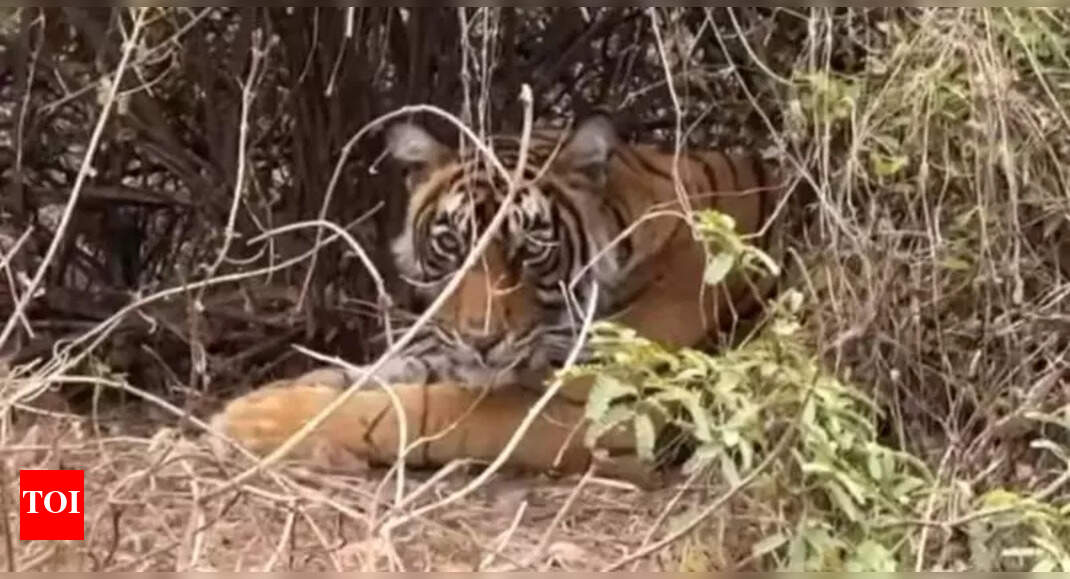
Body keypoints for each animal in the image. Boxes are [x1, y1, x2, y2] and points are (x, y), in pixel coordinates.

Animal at [209, 114, 788, 481]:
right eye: (452, 246)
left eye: (529, 251)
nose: (480, 340)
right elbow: (380, 371)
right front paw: (281, 391)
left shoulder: (602, 413)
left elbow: (420, 410)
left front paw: (258, 421)